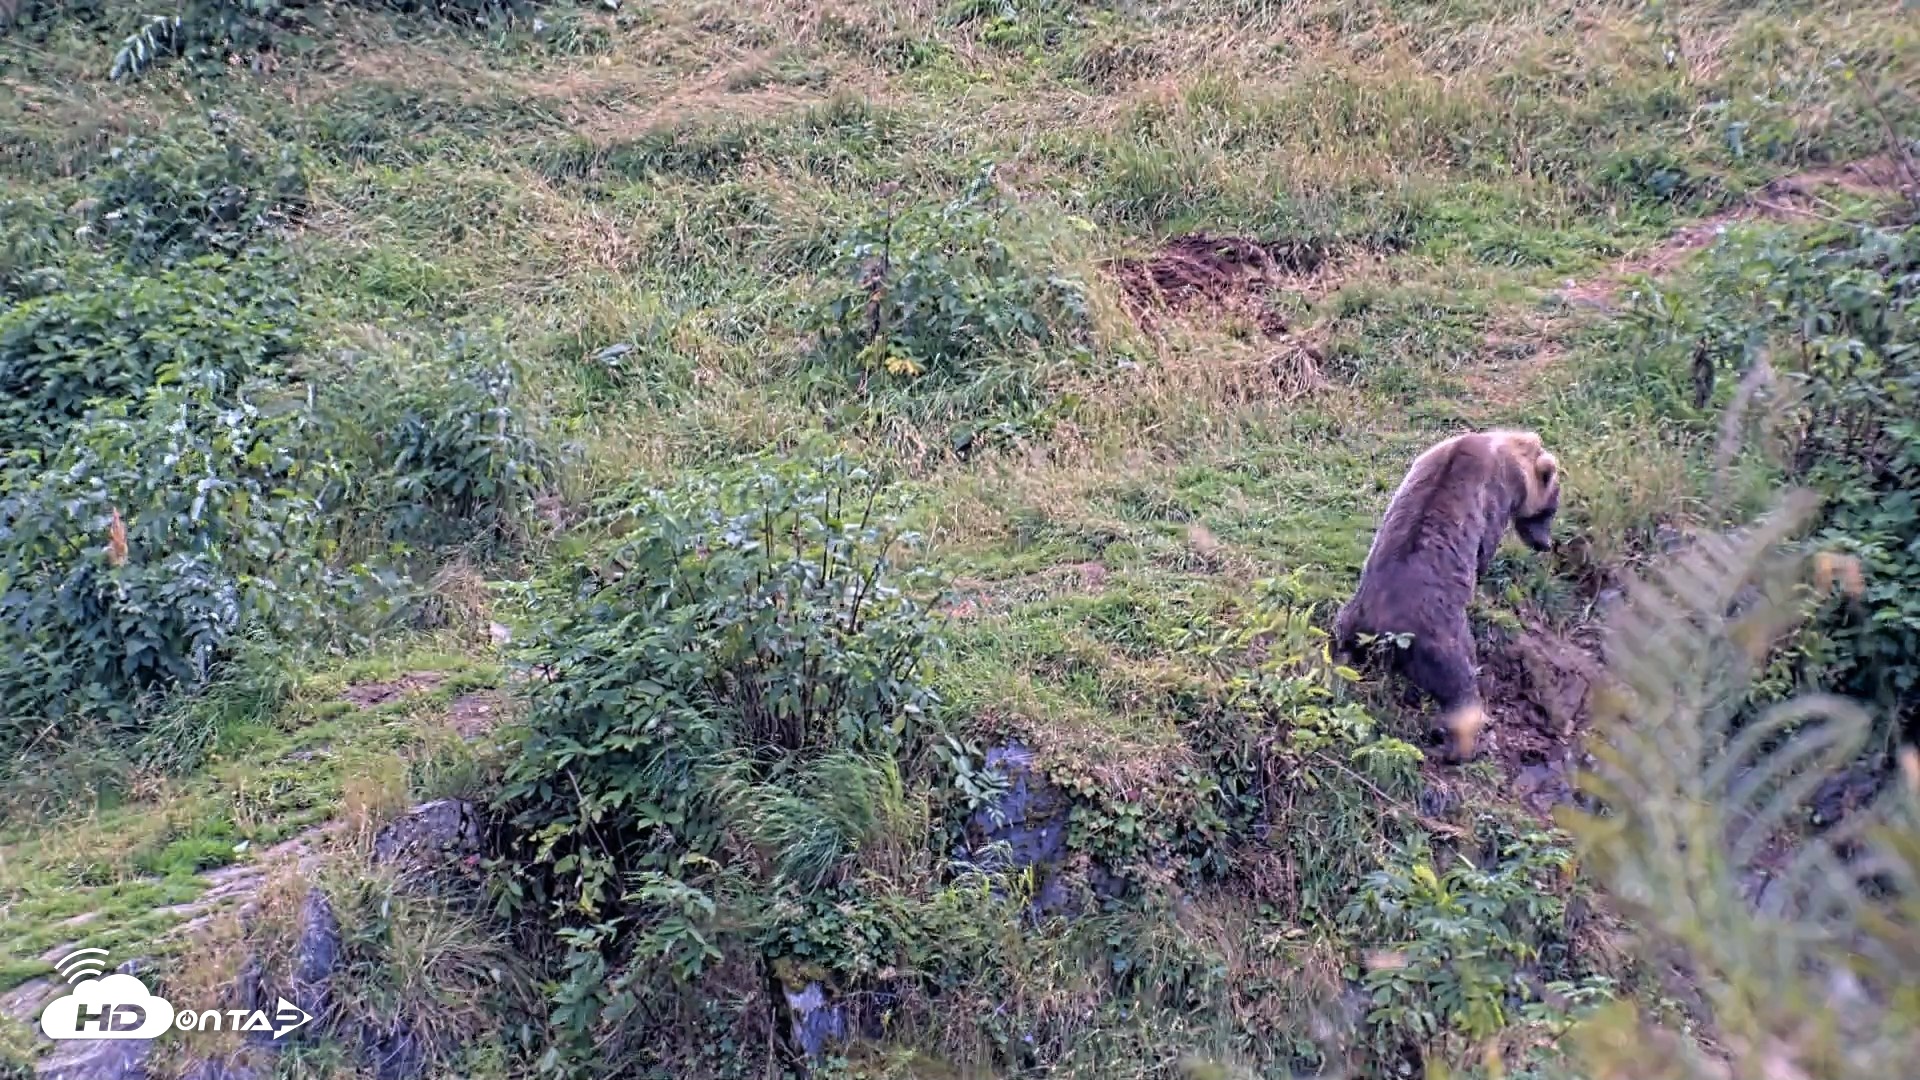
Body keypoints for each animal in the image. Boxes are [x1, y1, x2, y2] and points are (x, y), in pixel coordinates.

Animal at [1332, 429, 1562, 763]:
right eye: (1550, 510)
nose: (1545, 544)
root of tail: (1384, 635)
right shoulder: (1494, 495)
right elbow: (1485, 546)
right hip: (1442, 638)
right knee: (1460, 687)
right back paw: (1458, 745)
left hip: (1351, 619)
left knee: (1339, 645)